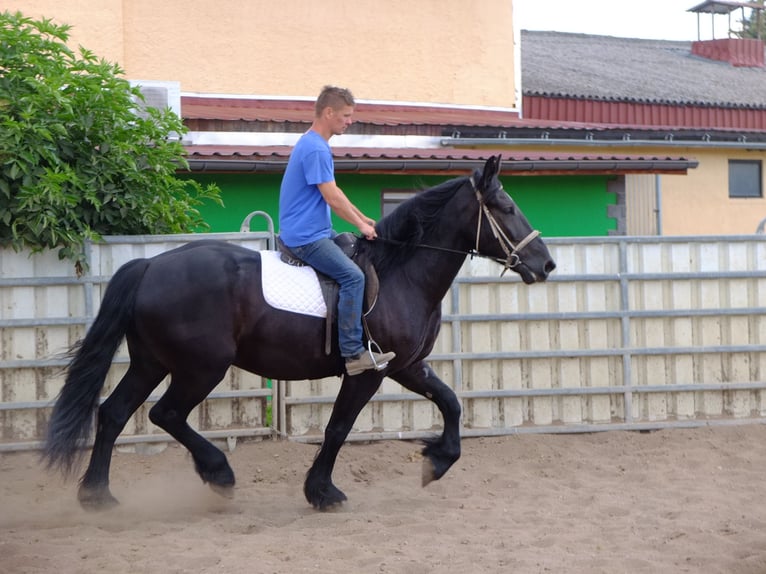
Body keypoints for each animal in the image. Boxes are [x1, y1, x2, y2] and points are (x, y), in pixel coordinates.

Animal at [43, 155, 560, 510]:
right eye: (506, 207)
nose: (546, 264)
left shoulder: (405, 366)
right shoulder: (368, 372)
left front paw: (437, 460)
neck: (400, 272)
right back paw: (218, 473)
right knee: (165, 414)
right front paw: (323, 491)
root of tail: (149, 266)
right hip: (199, 368)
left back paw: (97, 495)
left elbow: (451, 402)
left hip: (152, 362)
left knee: (113, 414)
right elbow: (338, 428)